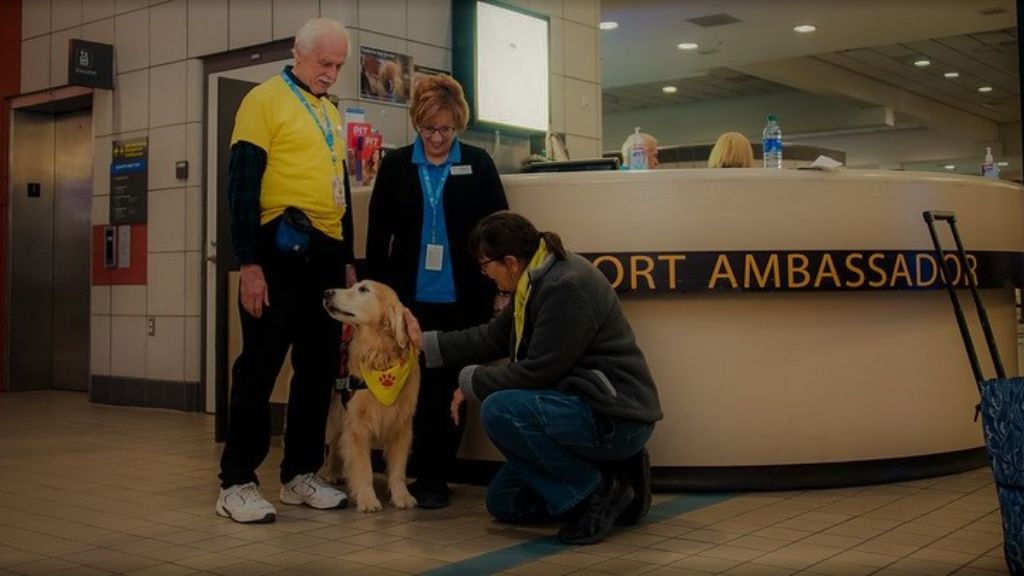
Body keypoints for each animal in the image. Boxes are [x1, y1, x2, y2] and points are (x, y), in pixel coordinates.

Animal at [319, 280, 415, 508]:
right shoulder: (358, 427)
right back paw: (329, 472)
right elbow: (364, 469)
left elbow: (398, 470)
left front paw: (402, 496)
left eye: (363, 289)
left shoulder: (402, 426)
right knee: (330, 445)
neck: (379, 354)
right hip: (333, 416)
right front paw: (367, 499)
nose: (327, 292)